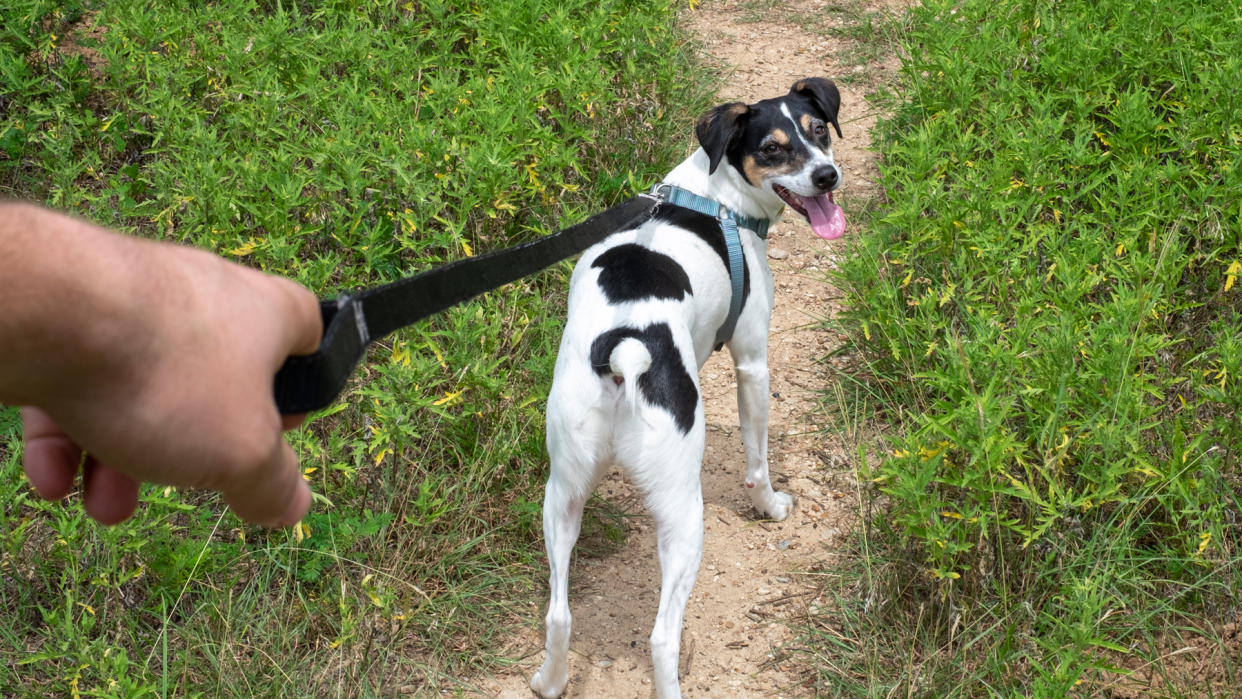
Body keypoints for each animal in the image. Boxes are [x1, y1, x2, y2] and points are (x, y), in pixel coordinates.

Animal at [529, 77, 849, 699]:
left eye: (819, 131)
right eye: (772, 149)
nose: (827, 176)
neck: (714, 193)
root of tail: (625, 347)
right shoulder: (753, 363)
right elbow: (757, 460)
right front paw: (771, 506)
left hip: (563, 492)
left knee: (559, 614)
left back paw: (550, 681)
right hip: (683, 510)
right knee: (661, 637)